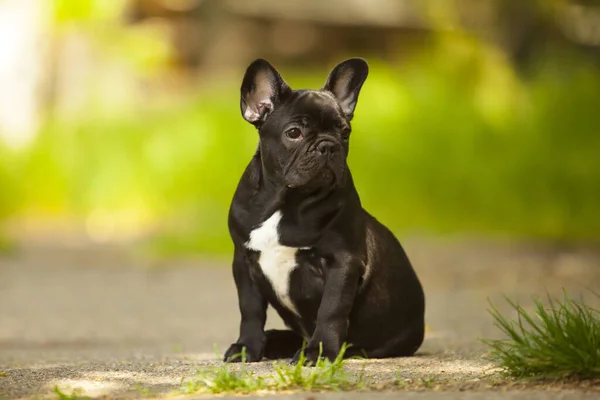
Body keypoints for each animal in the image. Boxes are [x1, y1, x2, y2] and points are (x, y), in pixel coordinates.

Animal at [223, 57, 424, 364]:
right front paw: (247, 347)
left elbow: (331, 310)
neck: (286, 201)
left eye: (345, 133)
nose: (328, 145)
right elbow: (250, 309)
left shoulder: (342, 262)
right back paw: (275, 342)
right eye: (294, 133)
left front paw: (318, 352)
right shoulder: (244, 262)